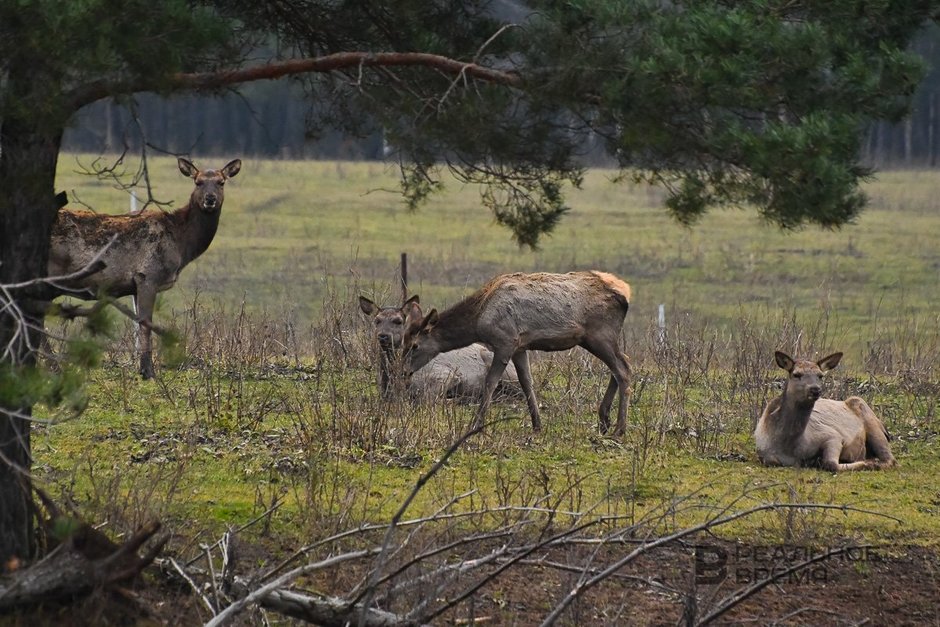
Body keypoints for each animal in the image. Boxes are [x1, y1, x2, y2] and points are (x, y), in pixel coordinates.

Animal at [48, 159, 242, 380]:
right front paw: (148, 371)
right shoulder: (148, 275)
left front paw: (142, 368)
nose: (210, 199)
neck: (181, 243)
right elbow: (145, 323)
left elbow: (139, 324)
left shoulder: (135, 284)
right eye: (198, 182)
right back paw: (53, 367)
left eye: (221, 182)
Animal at [360, 296, 520, 402]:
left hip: (505, 371)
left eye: (398, 321)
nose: (383, 336)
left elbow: (428, 398)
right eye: (377, 320)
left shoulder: (445, 375)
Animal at [400, 270, 636, 436]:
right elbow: (527, 382)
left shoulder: (505, 341)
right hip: (599, 338)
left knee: (623, 368)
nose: (402, 371)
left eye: (414, 345)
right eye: (403, 341)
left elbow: (490, 382)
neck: (479, 319)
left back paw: (619, 429)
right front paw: (537, 425)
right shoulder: (520, 346)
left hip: (599, 335)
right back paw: (604, 420)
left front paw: (475, 425)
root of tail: (626, 293)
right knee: (620, 364)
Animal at [752, 354, 900, 472]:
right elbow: (773, 461)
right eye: (796, 374)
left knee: (891, 459)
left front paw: (865, 464)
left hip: (872, 423)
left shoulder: (833, 435)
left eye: (820, 375)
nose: (815, 389)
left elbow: (831, 464)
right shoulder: (766, 456)